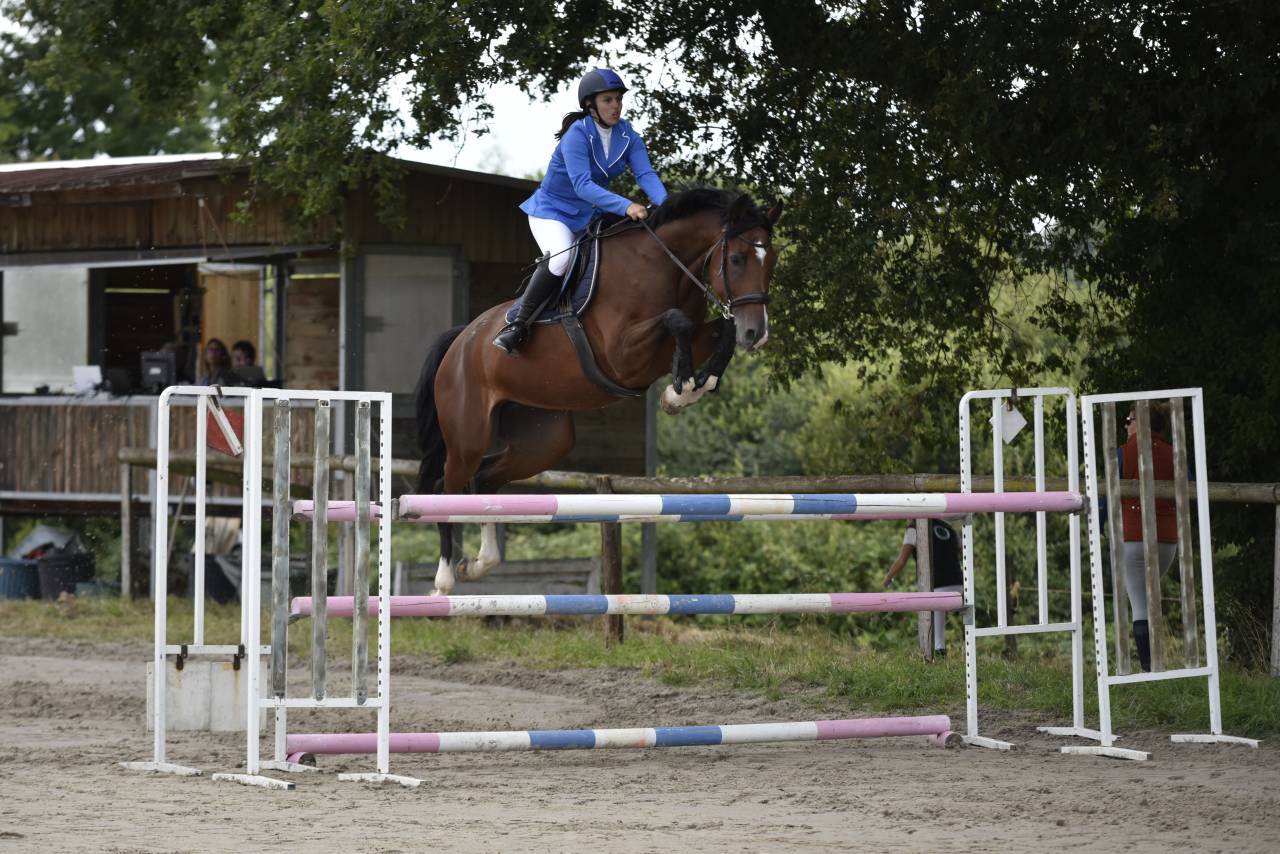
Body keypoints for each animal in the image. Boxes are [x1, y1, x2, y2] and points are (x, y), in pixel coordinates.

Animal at [414, 187, 781, 594]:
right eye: (736, 259)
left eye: (772, 260)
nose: (757, 334)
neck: (666, 267)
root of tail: (461, 339)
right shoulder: (624, 356)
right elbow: (677, 320)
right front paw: (681, 388)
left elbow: (719, 329)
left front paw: (692, 388)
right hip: (468, 434)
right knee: (447, 486)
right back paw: (444, 579)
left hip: (543, 439)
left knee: (483, 479)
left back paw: (480, 564)